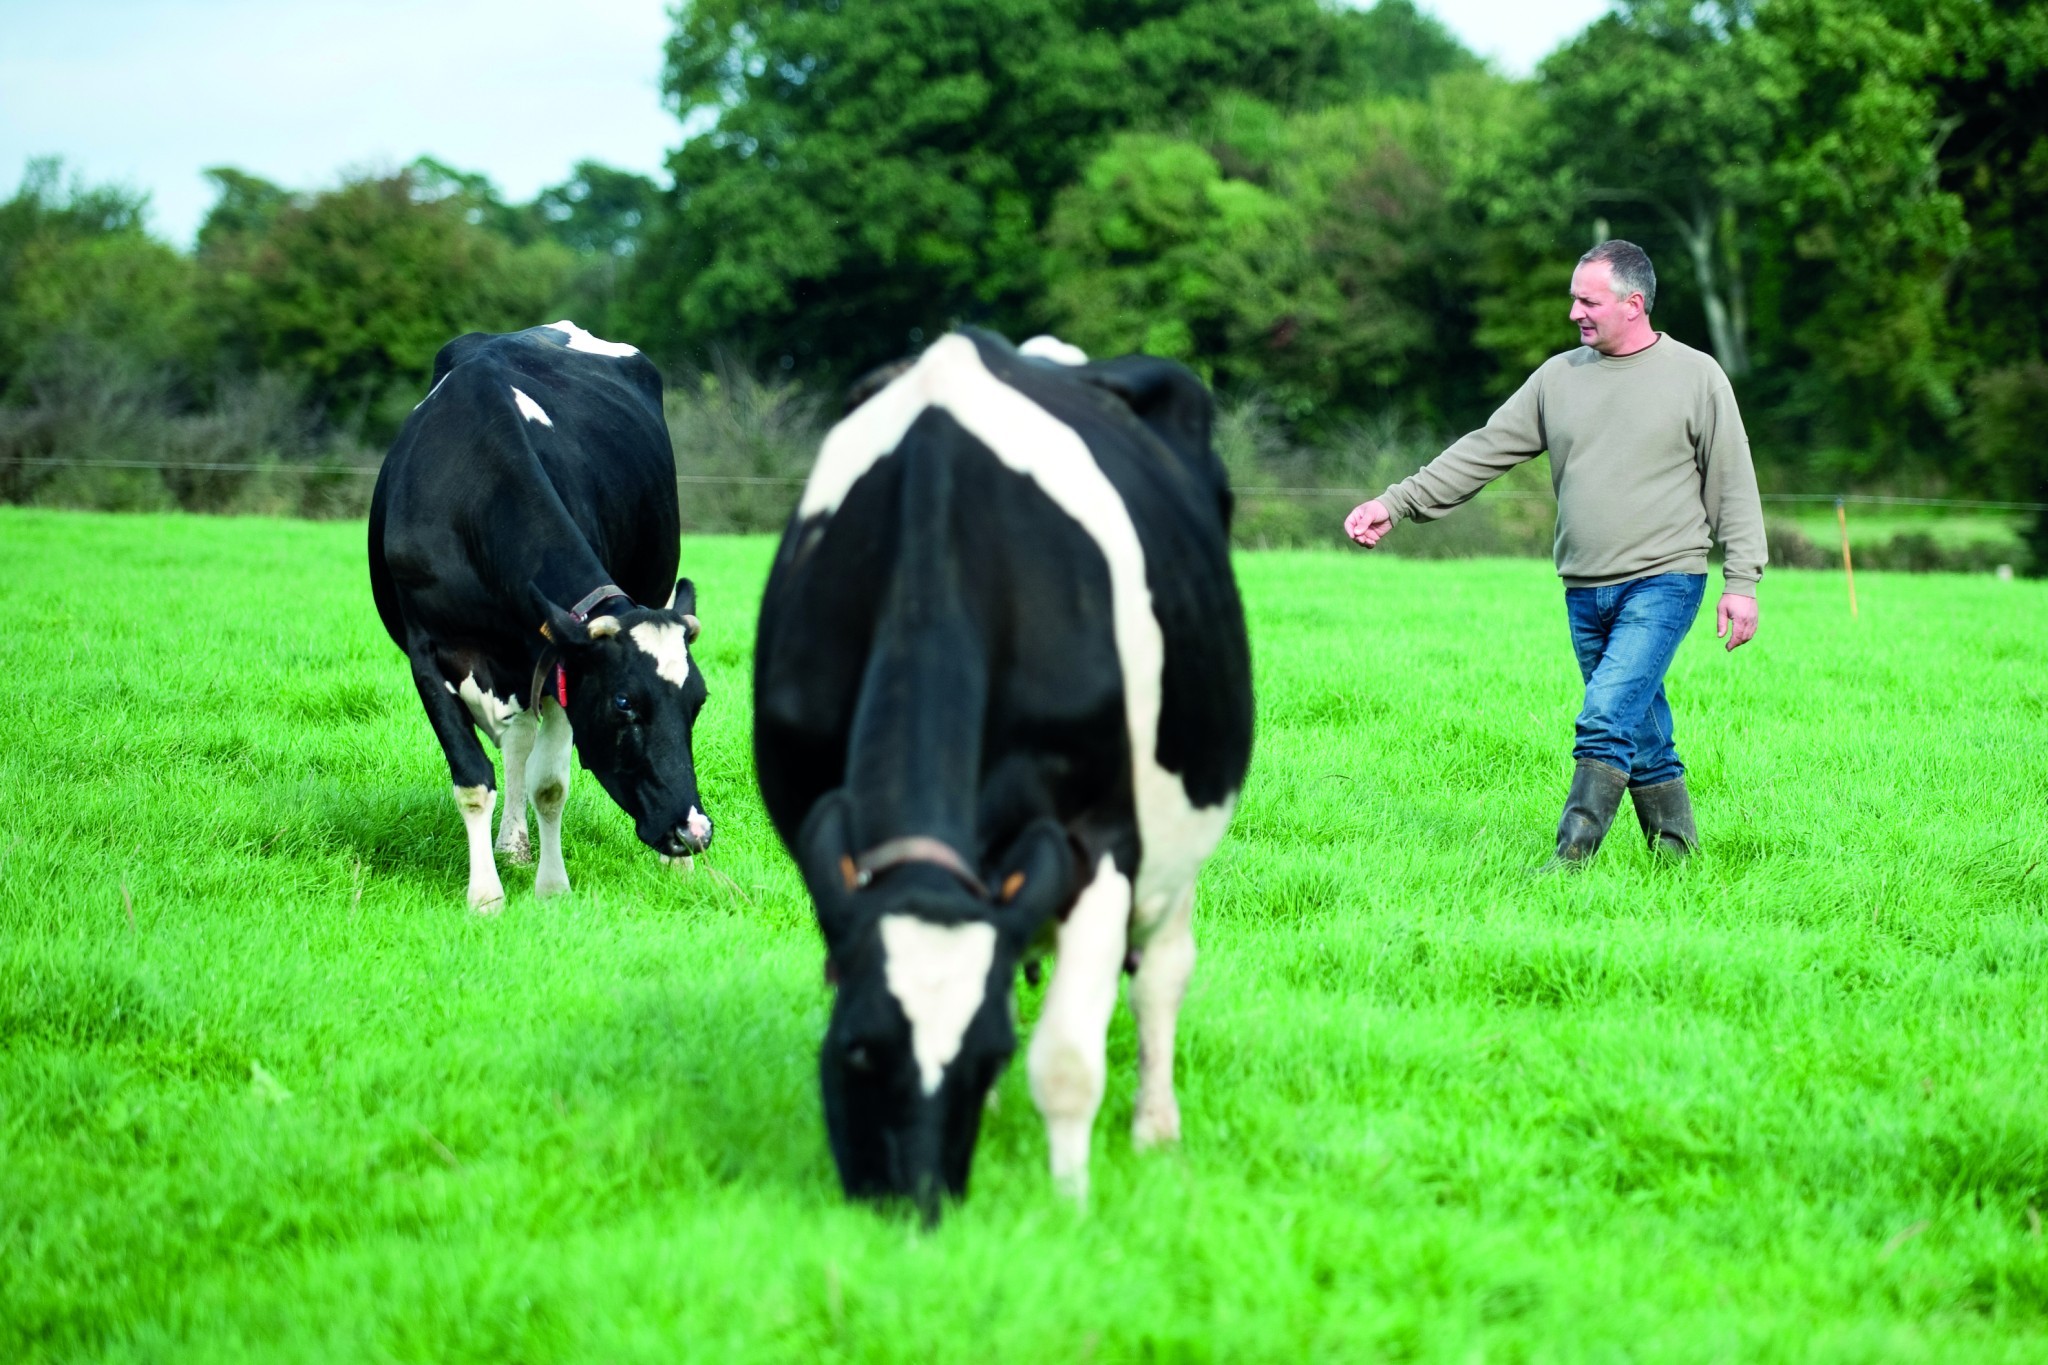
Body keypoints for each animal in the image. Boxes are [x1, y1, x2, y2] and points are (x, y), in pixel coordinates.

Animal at [372, 321, 716, 912]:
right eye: (624, 703)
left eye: (698, 702)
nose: (692, 831)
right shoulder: (427, 653)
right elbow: (473, 780)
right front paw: (486, 896)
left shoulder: (555, 659)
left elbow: (549, 785)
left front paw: (552, 887)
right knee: (515, 744)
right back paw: (511, 846)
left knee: (522, 745)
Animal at [761, 327, 1253, 1219]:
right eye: (856, 1049)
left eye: (990, 1052)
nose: (915, 1204)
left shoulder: (1101, 837)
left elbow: (1066, 1057)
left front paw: (1069, 1205)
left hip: (1180, 826)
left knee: (1162, 974)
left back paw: (1155, 1128)